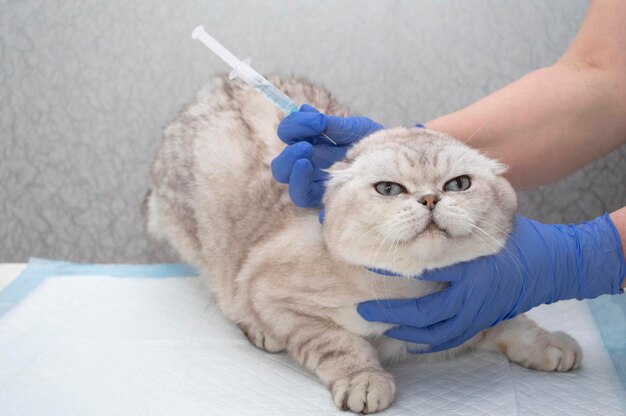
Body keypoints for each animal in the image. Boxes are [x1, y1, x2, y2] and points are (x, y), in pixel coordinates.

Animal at [146, 76, 580, 414]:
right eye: (389, 189)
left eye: (458, 184)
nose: (430, 199)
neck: (415, 293)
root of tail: (220, 82)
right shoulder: (275, 295)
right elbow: (338, 344)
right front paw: (364, 381)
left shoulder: (477, 305)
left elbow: (514, 321)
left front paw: (551, 344)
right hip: (205, 246)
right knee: (225, 292)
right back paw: (259, 330)